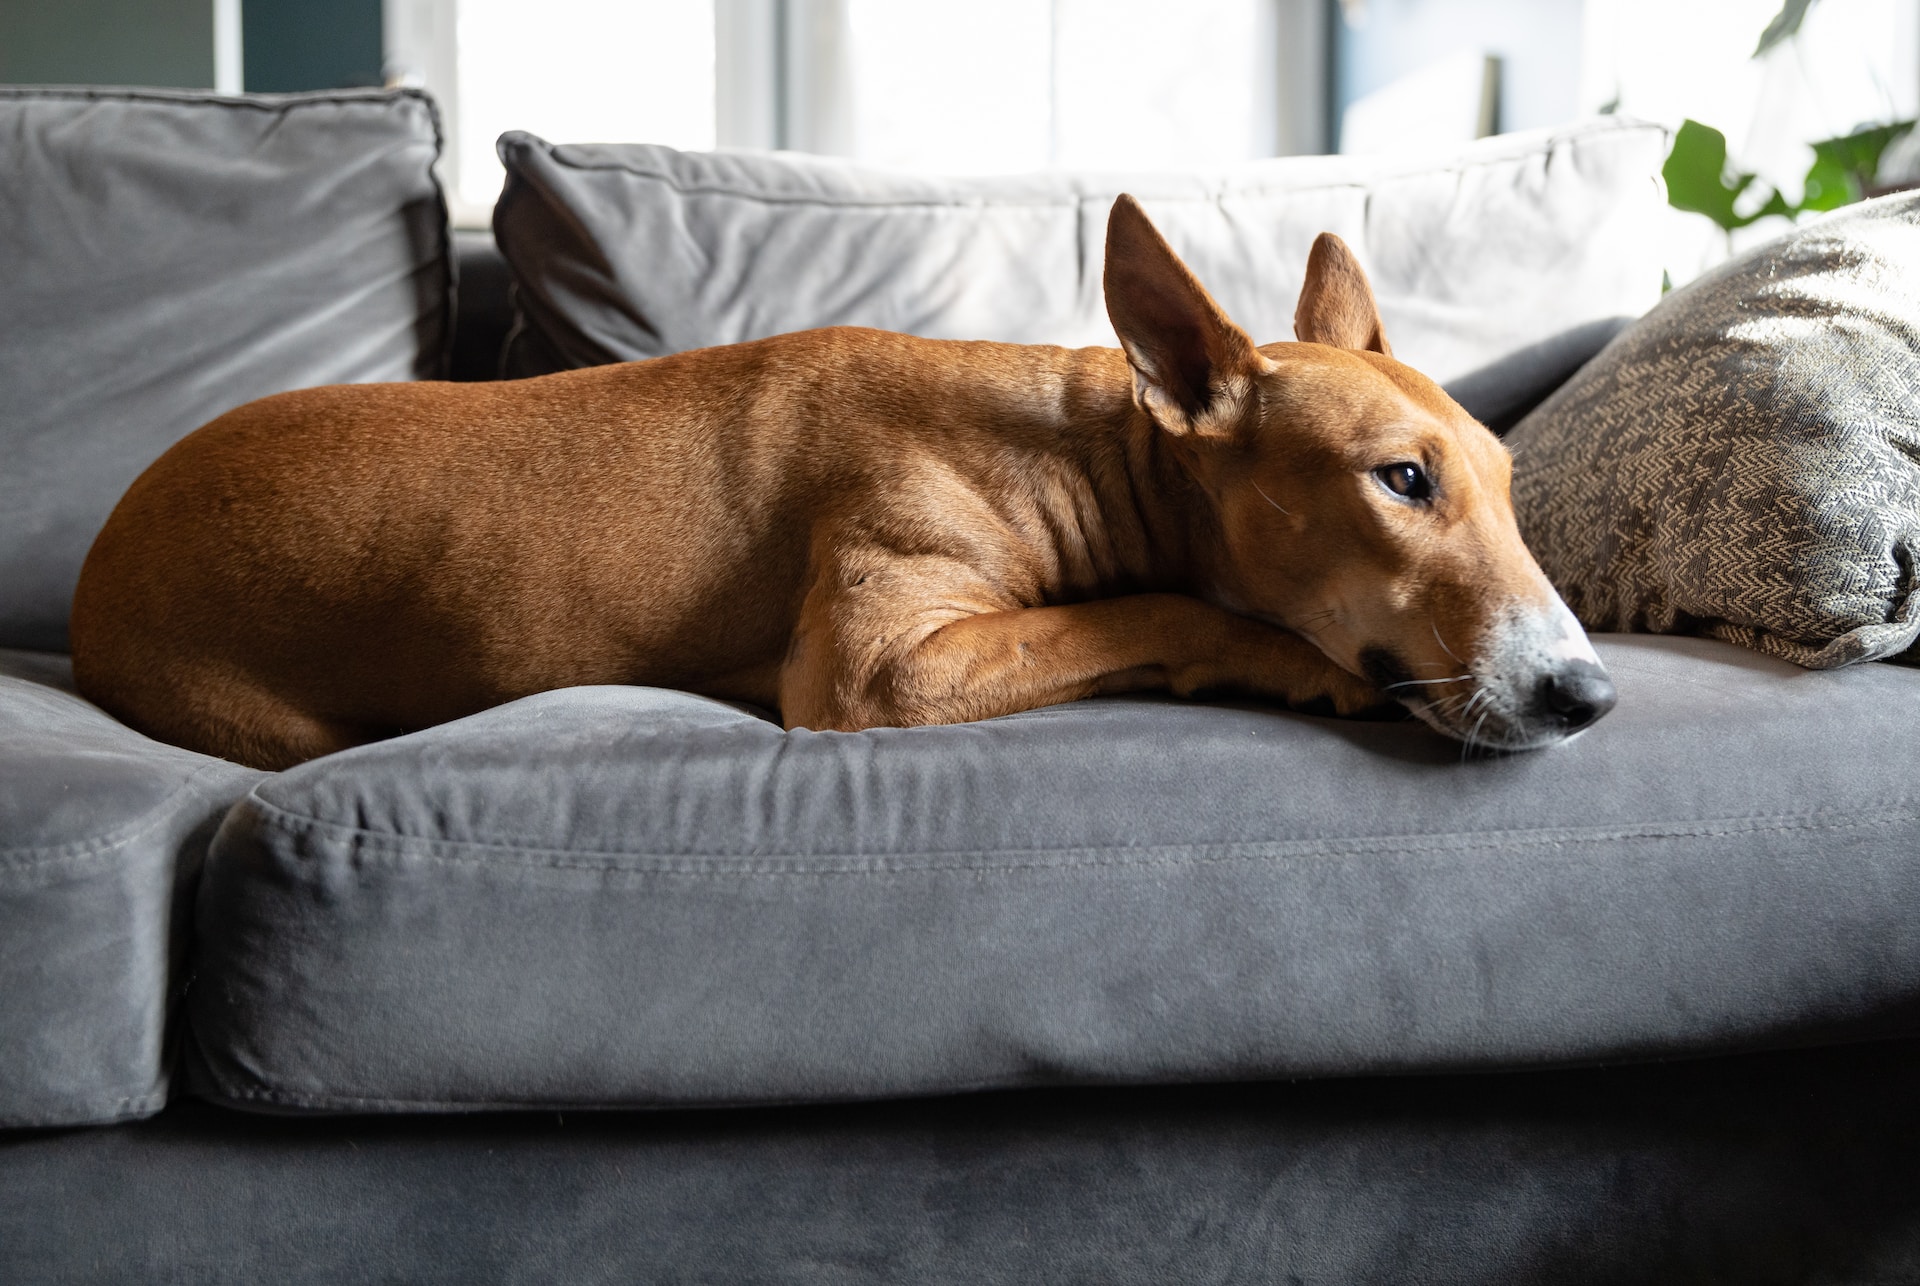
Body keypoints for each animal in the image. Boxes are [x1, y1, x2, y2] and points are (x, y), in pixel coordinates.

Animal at [71, 196, 1605, 771]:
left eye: (1504, 479)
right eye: (1399, 479)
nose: (1587, 694)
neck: (1072, 456)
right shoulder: (877, 667)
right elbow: (1158, 607)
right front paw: (1302, 664)